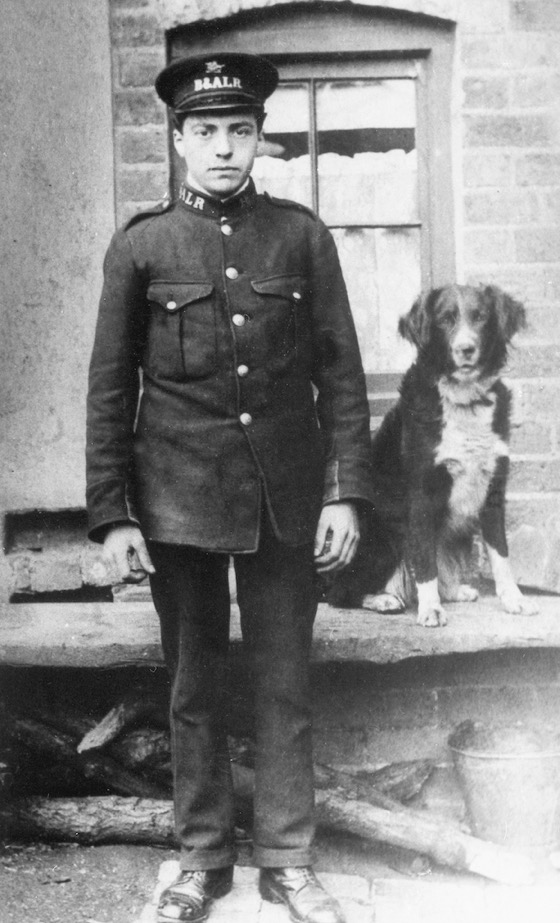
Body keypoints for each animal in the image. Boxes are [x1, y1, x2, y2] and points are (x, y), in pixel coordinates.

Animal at [328, 282, 540, 628]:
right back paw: (384, 599)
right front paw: (431, 609)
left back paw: (454, 591)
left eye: (481, 317)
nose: (466, 349)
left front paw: (514, 600)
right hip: (381, 536)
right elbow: (425, 560)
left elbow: (500, 553)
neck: (464, 400)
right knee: (340, 593)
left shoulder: (493, 490)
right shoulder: (422, 494)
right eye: (445, 320)